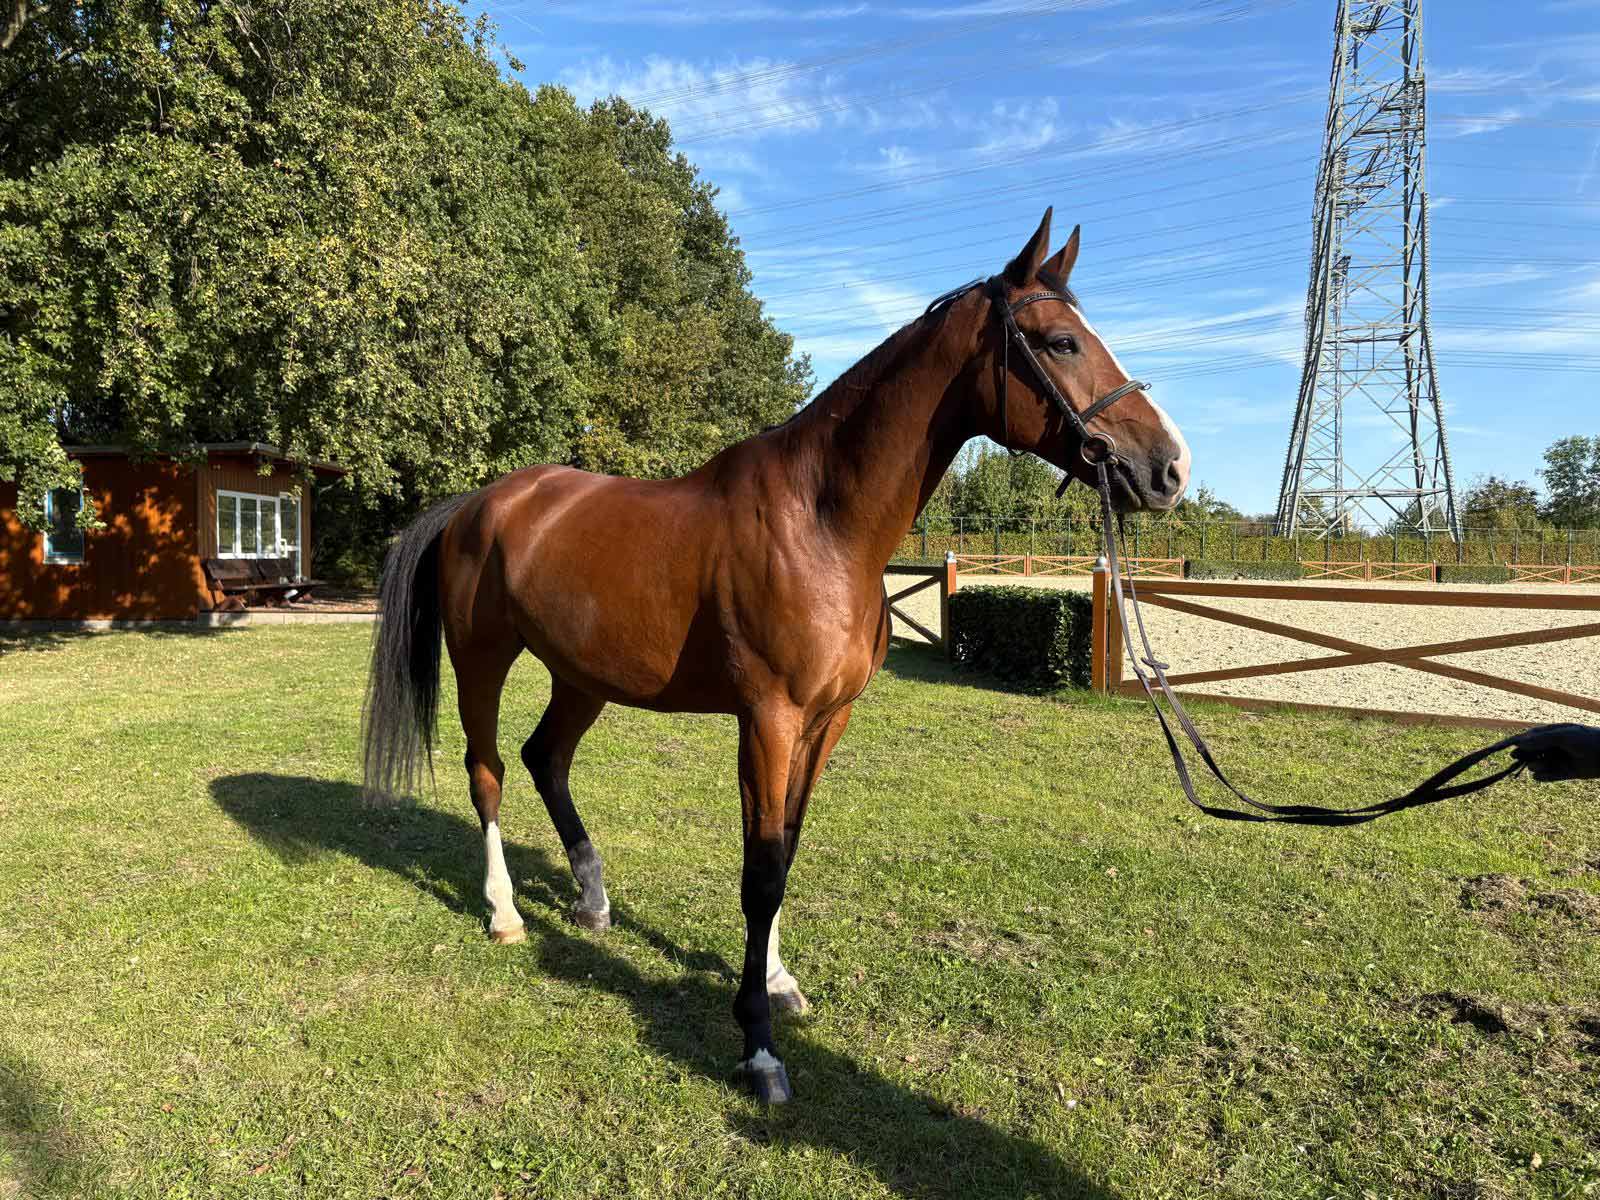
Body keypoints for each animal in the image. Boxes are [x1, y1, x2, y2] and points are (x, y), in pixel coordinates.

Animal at [361, 209, 1191, 1104]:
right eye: (1061, 341)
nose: (1168, 468)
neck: (821, 523)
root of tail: (479, 502)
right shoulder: (768, 719)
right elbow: (760, 872)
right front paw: (757, 1045)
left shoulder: (825, 722)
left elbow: (786, 850)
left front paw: (780, 983)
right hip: (484, 659)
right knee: (488, 773)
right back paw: (506, 913)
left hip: (583, 677)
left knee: (544, 757)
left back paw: (591, 902)